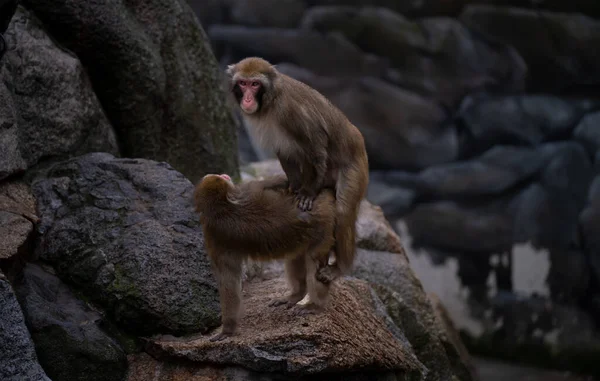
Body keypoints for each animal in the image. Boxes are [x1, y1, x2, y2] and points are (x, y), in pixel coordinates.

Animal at [195, 174, 340, 340]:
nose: (224, 175)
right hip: (322, 226)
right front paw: (228, 330)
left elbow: (228, 281)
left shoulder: (245, 192)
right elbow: (228, 280)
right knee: (308, 259)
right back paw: (305, 298)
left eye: (219, 177)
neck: (222, 208)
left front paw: (227, 330)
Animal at [225, 56, 368, 278]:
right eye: (243, 83)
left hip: (356, 168)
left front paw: (308, 193)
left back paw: (340, 268)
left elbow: (317, 147)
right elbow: (285, 153)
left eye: (255, 84)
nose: (247, 99)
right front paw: (293, 187)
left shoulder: (291, 112)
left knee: (344, 211)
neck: (272, 101)